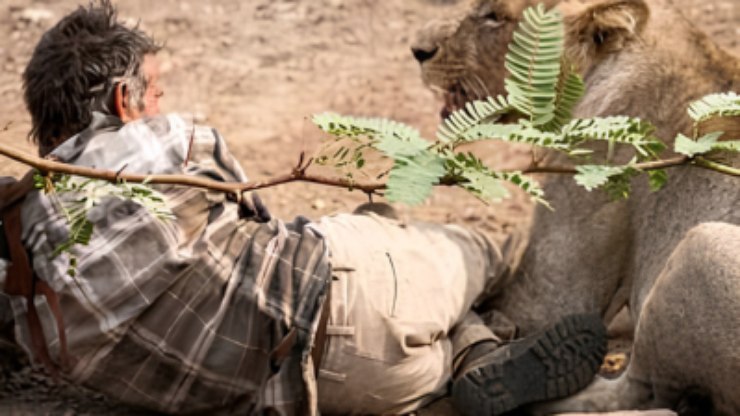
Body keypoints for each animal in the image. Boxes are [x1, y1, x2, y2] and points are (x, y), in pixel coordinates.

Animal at [413, 0, 739, 414]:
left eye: (495, 16)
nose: (418, 50)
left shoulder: (550, 296)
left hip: (704, 245)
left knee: (634, 392)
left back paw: (508, 376)